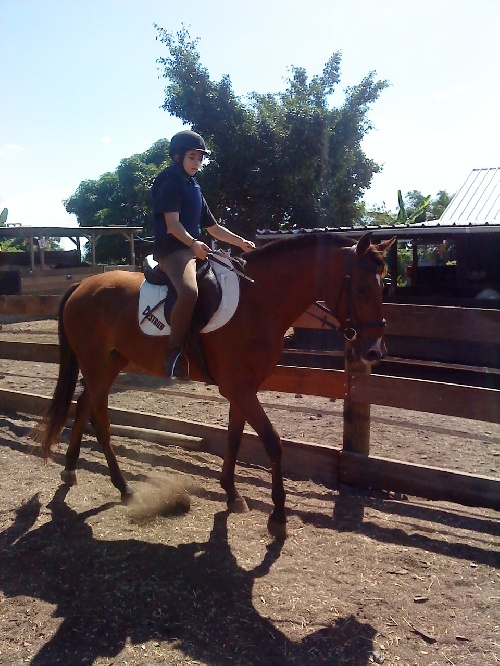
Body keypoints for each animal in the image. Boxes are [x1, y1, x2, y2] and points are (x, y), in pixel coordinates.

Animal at [33, 231, 396, 536]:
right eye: (361, 288)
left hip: (109, 363)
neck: (258, 300)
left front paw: (232, 493)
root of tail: (83, 286)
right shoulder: (241, 389)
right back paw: (123, 486)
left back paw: (70, 470)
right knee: (100, 420)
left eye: (383, 287)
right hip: (96, 363)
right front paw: (278, 517)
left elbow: (234, 438)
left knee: (83, 406)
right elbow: (273, 442)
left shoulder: (242, 389)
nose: (374, 351)